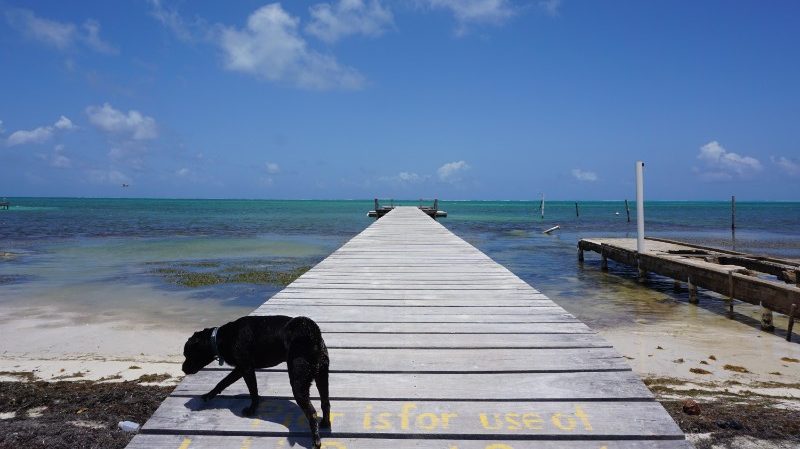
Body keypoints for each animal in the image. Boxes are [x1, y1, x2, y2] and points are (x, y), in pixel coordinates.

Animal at [183, 314, 330, 446]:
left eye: (188, 354)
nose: (183, 369)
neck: (220, 338)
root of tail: (312, 333)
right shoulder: (240, 368)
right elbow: (223, 382)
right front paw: (209, 395)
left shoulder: (246, 368)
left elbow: (253, 391)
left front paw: (251, 410)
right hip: (322, 376)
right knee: (325, 403)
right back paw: (325, 424)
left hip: (298, 382)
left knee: (312, 413)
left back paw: (316, 440)